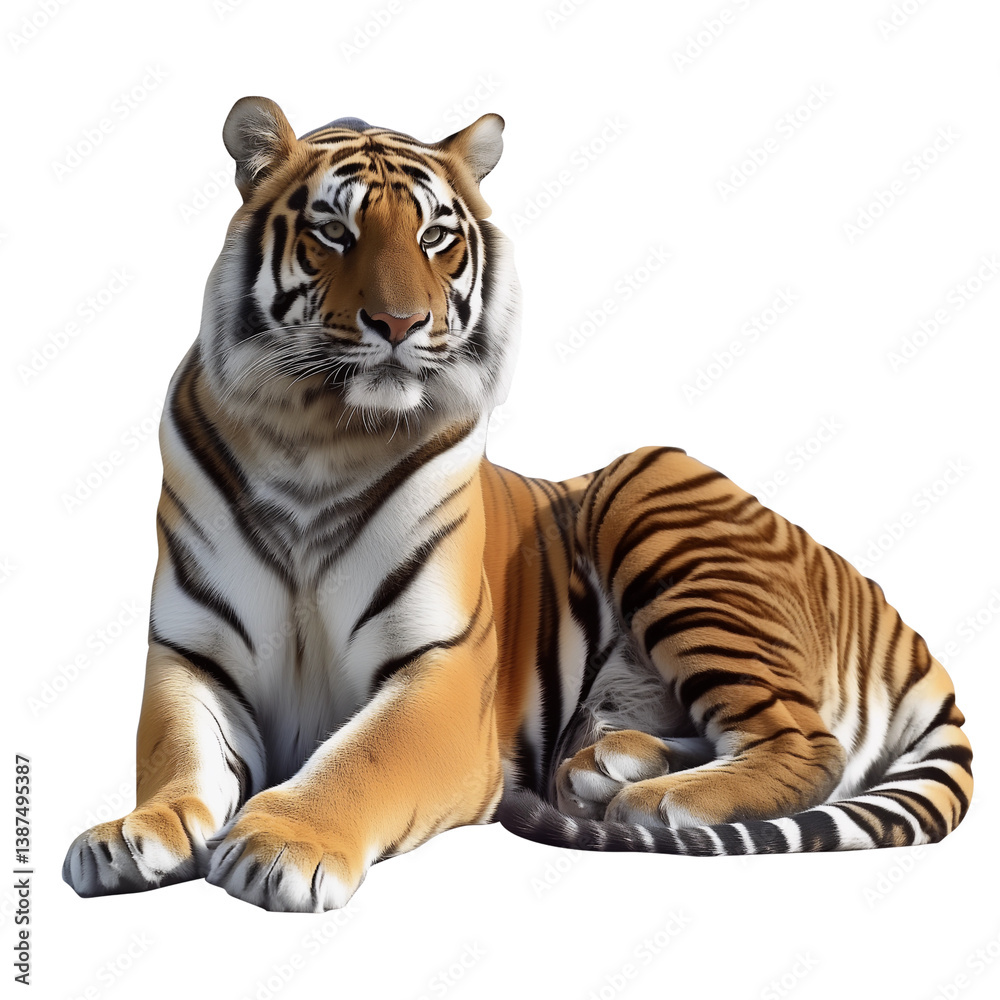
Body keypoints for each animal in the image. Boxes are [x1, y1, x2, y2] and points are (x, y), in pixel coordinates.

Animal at [62, 96, 973, 912]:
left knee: (805, 742)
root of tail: (894, 620)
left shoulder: (441, 667)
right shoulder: (193, 653)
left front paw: (281, 845)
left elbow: (360, 758)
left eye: (435, 236)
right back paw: (609, 765)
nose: (400, 322)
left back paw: (654, 799)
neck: (315, 440)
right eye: (334, 232)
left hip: (658, 500)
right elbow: (175, 754)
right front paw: (132, 833)